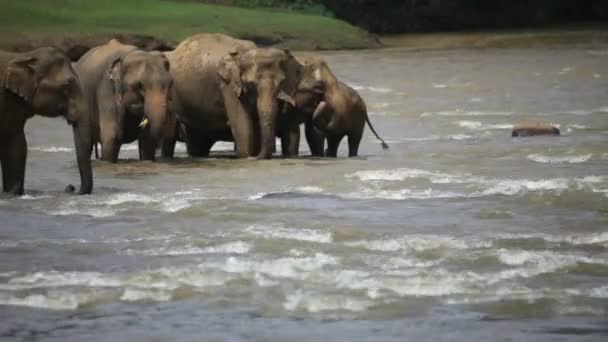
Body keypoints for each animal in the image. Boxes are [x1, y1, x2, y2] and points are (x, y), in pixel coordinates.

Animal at [164, 33, 300, 159]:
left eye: (282, 82)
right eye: (250, 84)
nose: (256, 157)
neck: (242, 54)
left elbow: (255, 126)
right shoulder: (227, 85)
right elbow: (242, 125)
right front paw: (246, 157)